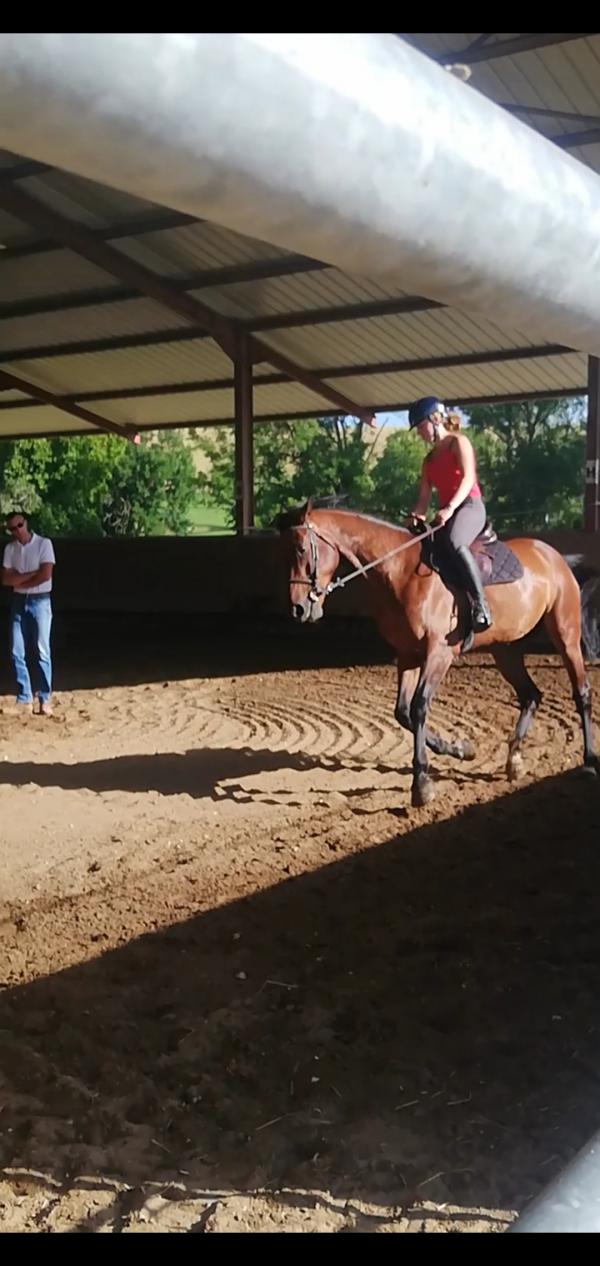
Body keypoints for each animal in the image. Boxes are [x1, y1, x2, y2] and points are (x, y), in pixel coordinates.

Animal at [278, 498, 597, 805]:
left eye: (302, 549)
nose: (298, 609)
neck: (401, 571)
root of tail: (555, 556)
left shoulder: (439, 654)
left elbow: (419, 707)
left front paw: (421, 784)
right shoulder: (407, 654)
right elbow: (402, 712)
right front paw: (460, 749)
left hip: (566, 635)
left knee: (581, 692)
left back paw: (589, 763)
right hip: (504, 649)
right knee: (531, 695)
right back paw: (515, 761)